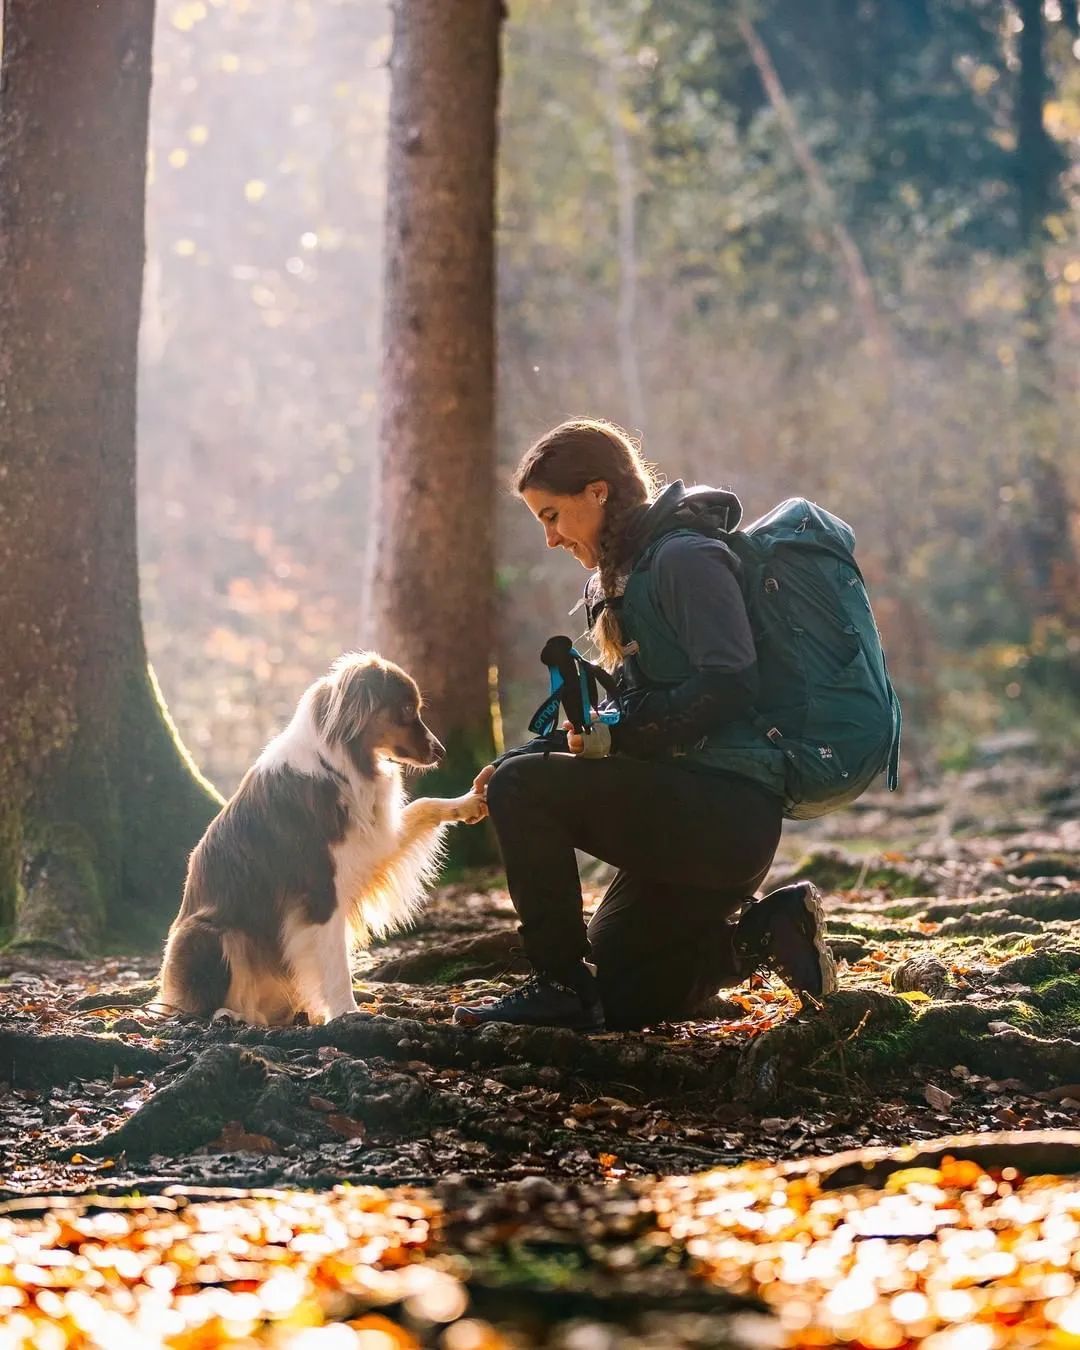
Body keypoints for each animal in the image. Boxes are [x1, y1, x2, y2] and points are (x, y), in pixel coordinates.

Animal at [157, 650, 486, 1020]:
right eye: (404, 709)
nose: (440, 751)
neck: (339, 765)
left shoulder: (374, 843)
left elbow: (424, 804)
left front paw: (467, 802)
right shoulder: (319, 890)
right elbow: (334, 960)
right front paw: (347, 1012)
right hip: (207, 932)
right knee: (196, 1006)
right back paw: (230, 1014)